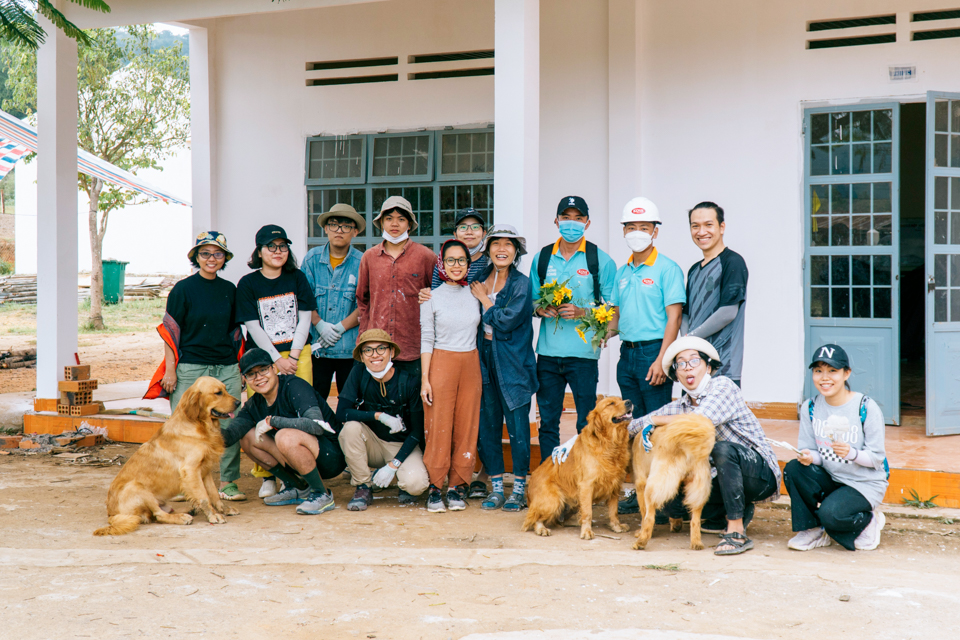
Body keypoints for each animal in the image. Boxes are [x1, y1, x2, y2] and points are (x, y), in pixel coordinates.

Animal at [94, 376, 242, 536]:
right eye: (218, 392)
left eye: (225, 389)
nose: (239, 403)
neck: (199, 425)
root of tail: (112, 515)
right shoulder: (191, 470)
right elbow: (204, 497)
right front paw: (213, 515)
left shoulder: (205, 470)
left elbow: (213, 494)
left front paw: (223, 509)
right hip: (136, 487)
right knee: (159, 515)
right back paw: (182, 517)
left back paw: (188, 509)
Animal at [520, 396, 632, 540]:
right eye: (611, 403)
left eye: (621, 399)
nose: (629, 402)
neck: (609, 443)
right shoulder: (586, 485)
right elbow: (588, 512)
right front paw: (586, 531)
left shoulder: (615, 485)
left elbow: (614, 511)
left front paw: (616, 526)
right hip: (555, 499)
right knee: (533, 518)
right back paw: (541, 528)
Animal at [632, 416, 716, 552]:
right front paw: (676, 524)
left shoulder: (641, 483)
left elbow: (644, 514)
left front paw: (641, 532)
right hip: (698, 490)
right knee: (695, 520)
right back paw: (696, 542)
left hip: (654, 485)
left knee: (649, 518)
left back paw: (641, 542)